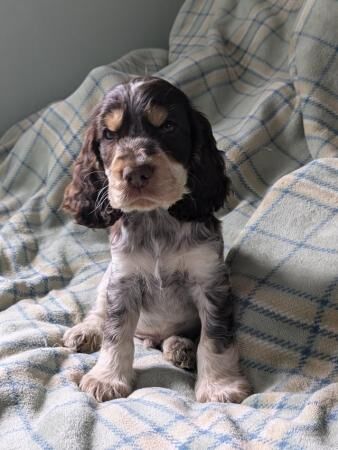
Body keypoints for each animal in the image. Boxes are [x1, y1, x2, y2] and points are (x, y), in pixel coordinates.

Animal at [62, 75, 250, 402]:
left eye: (168, 127)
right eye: (109, 135)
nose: (135, 173)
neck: (156, 220)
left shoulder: (210, 281)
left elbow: (214, 338)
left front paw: (219, 386)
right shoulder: (122, 281)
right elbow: (115, 333)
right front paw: (106, 378)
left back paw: (180, 348)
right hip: (107, 279)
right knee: (99, 311)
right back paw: (84, 331)